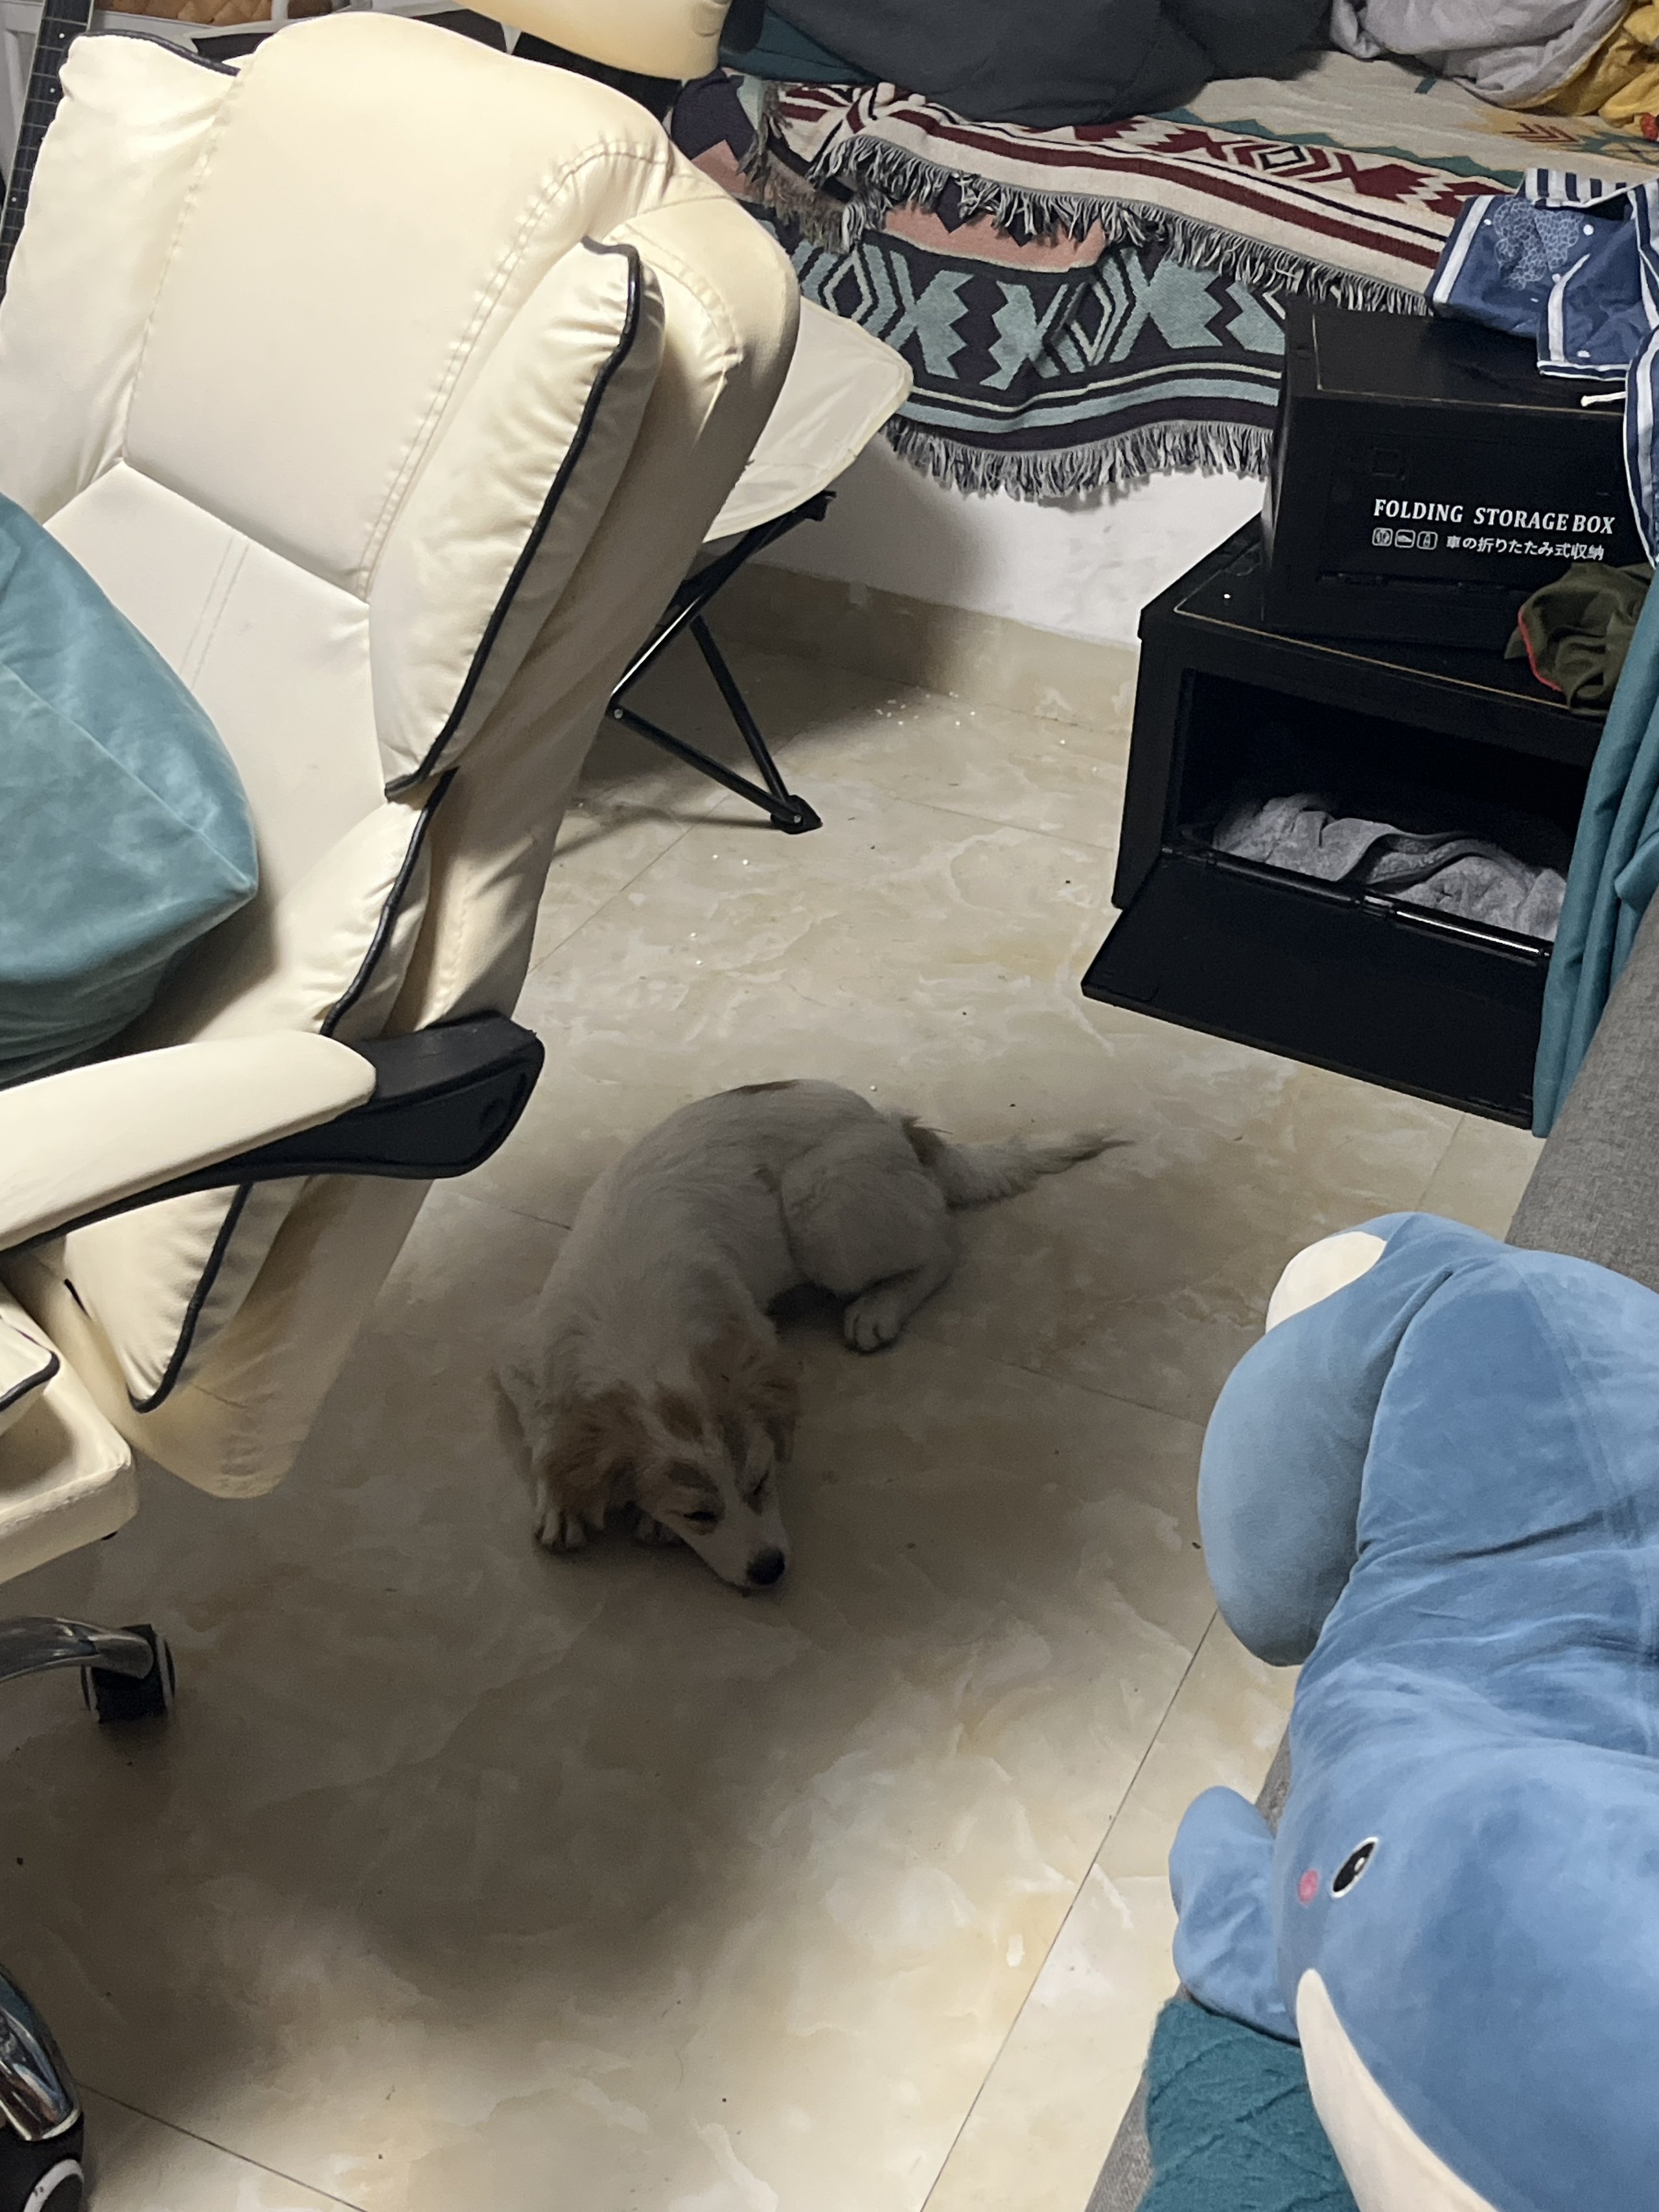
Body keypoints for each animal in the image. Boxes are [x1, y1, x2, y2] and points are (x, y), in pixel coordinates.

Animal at [499, 1080, 1110, 1590]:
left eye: (761, 1482)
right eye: (700, 1514)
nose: (771, 1570)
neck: (642, 1323)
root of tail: (890, 1121)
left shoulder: (753, 1332)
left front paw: (647, 1525)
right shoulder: (519, 1344)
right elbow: (547, 1424)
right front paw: (561, 1504)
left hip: (821, 1214)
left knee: (943, 1244)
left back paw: (879, 1309)